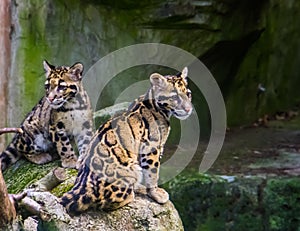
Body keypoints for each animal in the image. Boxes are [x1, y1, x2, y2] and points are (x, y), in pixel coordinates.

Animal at [59, 67, 193, 215]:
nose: (189, 109)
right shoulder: (151, 148)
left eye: (188, 94)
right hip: (130, 170)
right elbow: (153, 172)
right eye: (174, 97)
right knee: (106, 204)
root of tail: (82, 188)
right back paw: (133, 193)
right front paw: (156, 193)